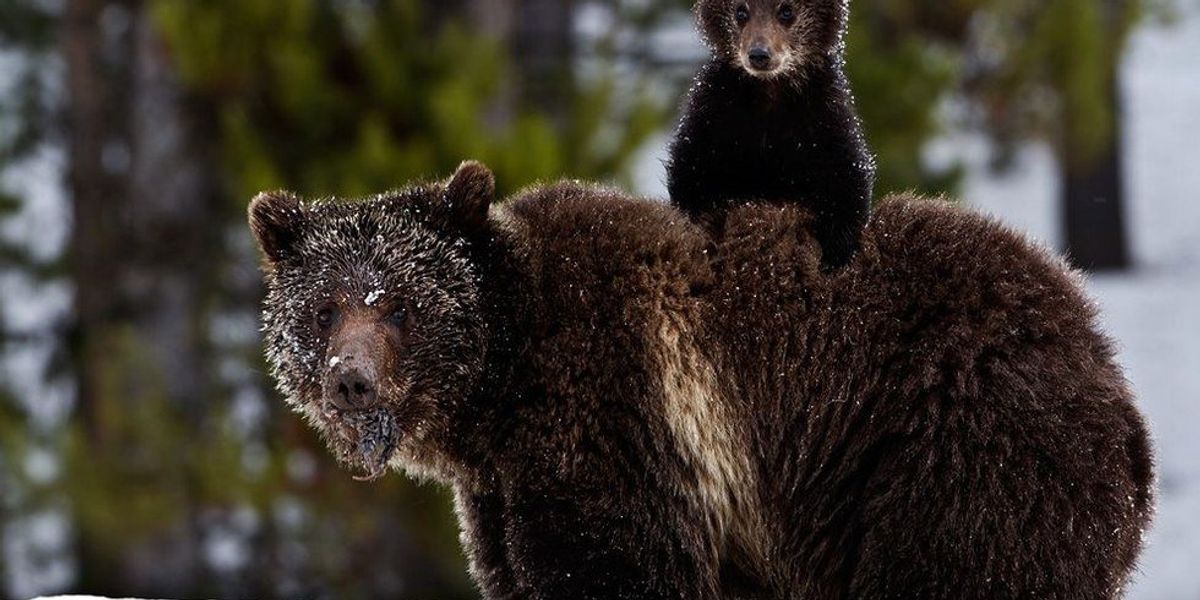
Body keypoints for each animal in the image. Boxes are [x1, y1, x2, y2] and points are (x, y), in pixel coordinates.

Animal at [250, 161, 1153, 599]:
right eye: (324, 309)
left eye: (400, 303)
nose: (351, 382)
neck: (501, 399)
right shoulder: (504, 495)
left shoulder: (622, 427)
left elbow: (608, 568)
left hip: (954, 463)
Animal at [667, 0, 875, 269]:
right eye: (740, 11)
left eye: (786, 11)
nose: (759, 54)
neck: (769, 94)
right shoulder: (712, 116)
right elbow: (690, 176)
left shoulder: (824, 120)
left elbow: (846, 181)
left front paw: (837, 252)